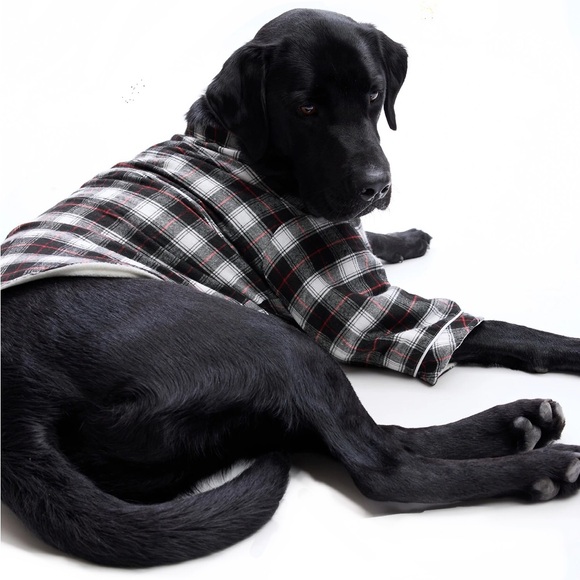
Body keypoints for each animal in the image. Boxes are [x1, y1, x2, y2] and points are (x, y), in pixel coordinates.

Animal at [2, 8, 580, 568]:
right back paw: (541, 464)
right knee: (382, 465)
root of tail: (20, 404)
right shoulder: (353, 308)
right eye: (306, 108)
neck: (239, 146)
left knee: (364, 435)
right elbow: (498, 329)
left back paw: (519, 423)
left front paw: (405, 238)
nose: (378, 186)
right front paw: (569, 347)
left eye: (374, 95)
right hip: (275, 343)